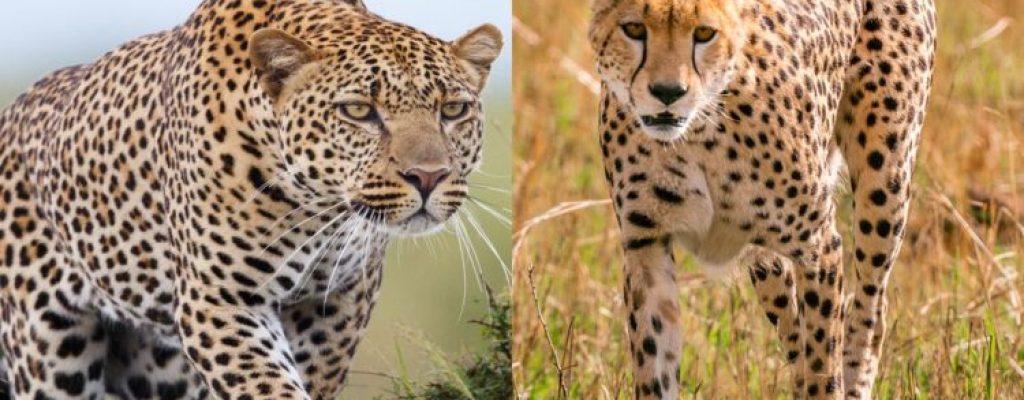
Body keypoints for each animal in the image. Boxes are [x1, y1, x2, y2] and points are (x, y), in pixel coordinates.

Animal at [0, 0, 502, 399]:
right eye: (359, 111)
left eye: (452, 110)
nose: (429, 177)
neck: (314, 206)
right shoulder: (221, 301)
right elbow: (266, 384)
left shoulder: (338, 302)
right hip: (49, 351)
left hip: (159, 369)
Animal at [589, 0, 935, 398]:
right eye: (633, 29)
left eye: (704, 33)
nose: (667, 92)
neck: (696, 134)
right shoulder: (646, 247)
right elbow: (654, 361)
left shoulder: (819, 247)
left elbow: (823, 361)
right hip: (766, 262)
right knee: (794, 333)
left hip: (884, 186)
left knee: (870, 309)